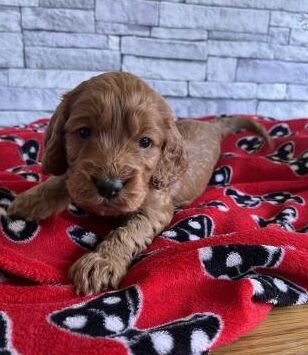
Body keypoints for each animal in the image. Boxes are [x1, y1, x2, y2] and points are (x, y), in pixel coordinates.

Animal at [7, 71, 270, 294]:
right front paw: (26, 202)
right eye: (83, 132)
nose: (108, 186)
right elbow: (64, 179)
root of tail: (213, 125)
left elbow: (128, 231)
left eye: (145, 142)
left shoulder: (156, 208)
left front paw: (101, 262)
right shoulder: (77, 175)